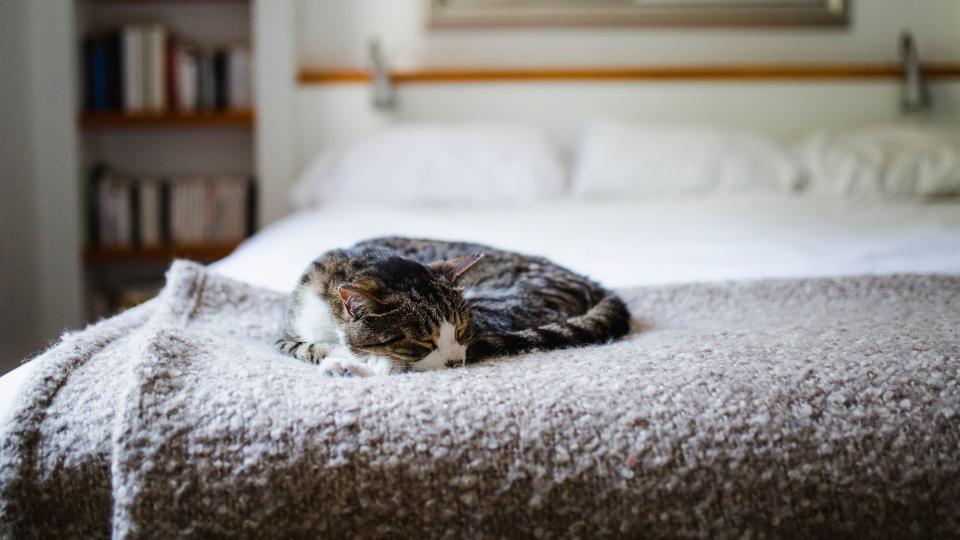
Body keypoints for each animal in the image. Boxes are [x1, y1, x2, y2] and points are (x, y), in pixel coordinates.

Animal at [274, 236, 632, 376]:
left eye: (461, 330)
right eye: (422, 341)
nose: (455, 362)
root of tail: (594, 285)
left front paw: (366, 364)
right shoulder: (285, 334)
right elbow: (307, 347)